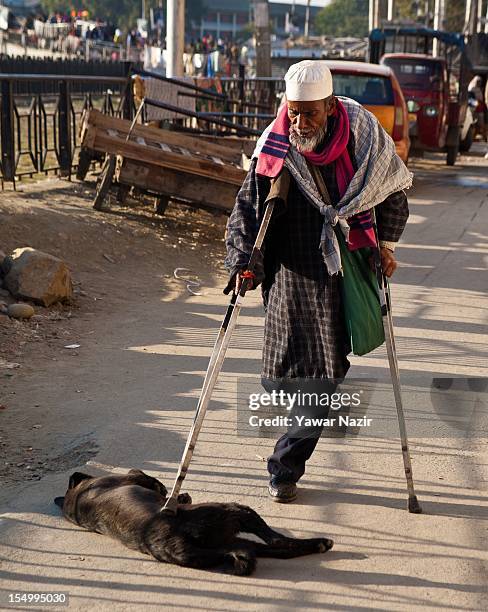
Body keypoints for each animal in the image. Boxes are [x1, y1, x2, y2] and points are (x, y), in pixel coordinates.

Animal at [55, 468, 334, 572]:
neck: (77, 499)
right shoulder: (137, 475)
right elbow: (156, 483)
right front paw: (179, 494)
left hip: (218, 548)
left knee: (274, 549)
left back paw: (317, 544)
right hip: (234, 511)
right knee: (277, 540)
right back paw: (321, 542)